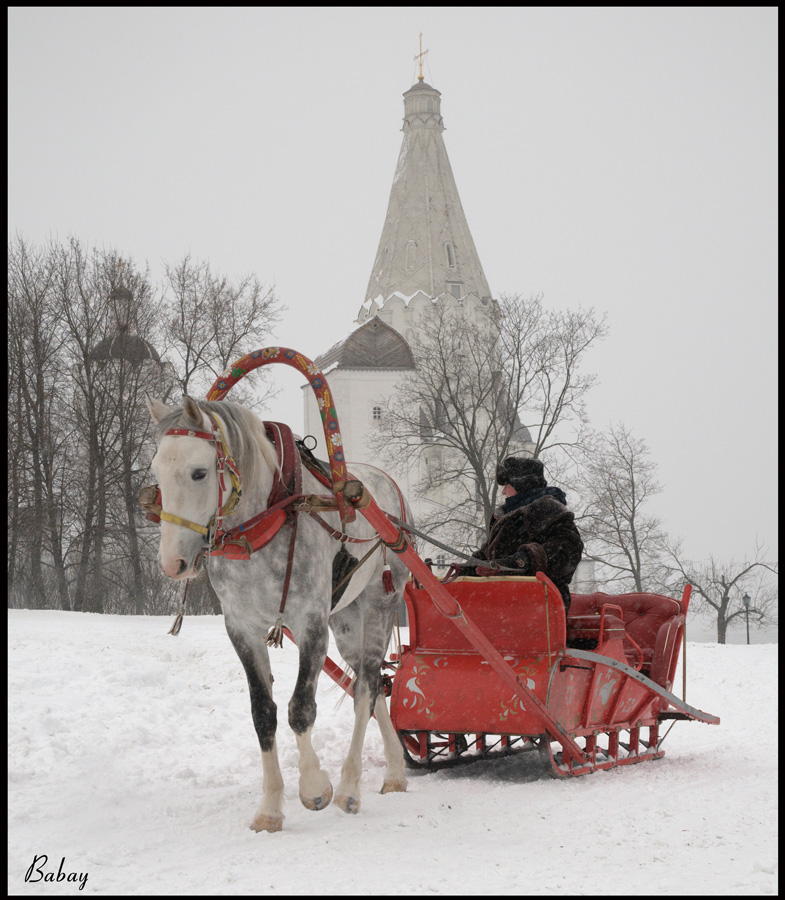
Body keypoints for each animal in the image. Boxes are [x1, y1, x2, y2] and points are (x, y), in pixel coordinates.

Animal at [145, 394, 410, 828]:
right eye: (157, 471)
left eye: (199, 472)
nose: (172, 563)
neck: (263, 522)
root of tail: (385, 482)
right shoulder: (242, 627)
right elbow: (263, 713)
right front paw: (270, 808)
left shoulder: (311, 623)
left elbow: (301, 709)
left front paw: (315, 788)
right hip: (346, 617)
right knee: (369, 685)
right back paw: (395, 773)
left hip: (381, 601)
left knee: (366, 688)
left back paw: (350, 787)